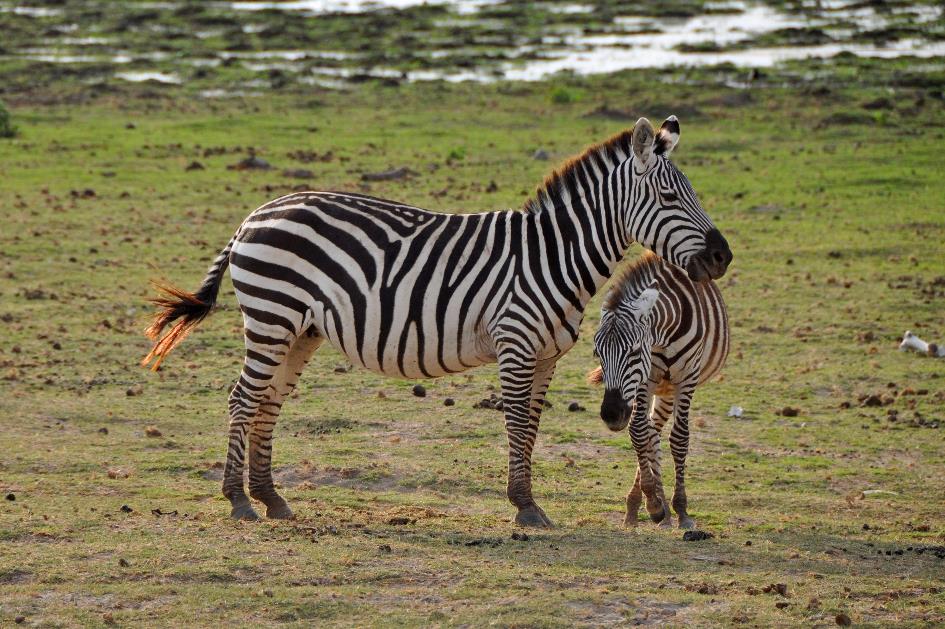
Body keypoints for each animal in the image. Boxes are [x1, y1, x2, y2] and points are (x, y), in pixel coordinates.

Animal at [592, 253, 732, 528]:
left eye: (634, 351)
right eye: (598, 354)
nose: (612, 415)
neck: (665, 332)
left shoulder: (687, 377)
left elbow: (679, 437)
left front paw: (681, 509)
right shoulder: (646, 378)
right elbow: (638, 431)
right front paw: (654, 504)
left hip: (669, 390)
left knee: (655, 431)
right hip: (659, 388)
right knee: (651, 432)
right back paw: (644, 505)